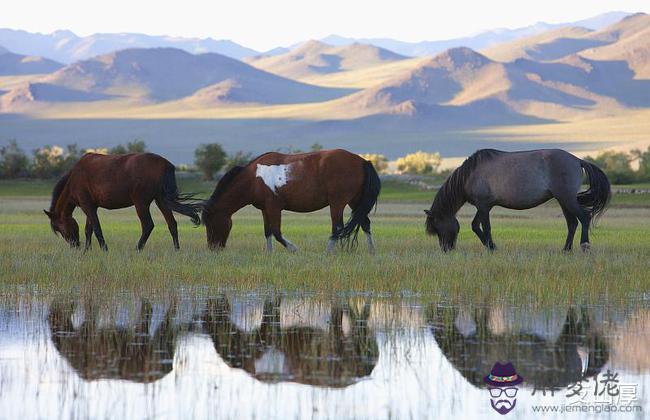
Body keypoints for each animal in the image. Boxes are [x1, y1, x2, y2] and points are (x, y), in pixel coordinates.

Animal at [44, 153, 199, 251]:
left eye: (59, 228)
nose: (74, 245)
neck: (74, 179)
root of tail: (166, 165)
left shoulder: (86, 206)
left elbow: (97, 229)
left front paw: (104, 250)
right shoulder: (91, 206)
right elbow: (89, 230)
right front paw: (87, 250)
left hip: (141, 203)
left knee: (148, 225)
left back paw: (137, 249)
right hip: (161, 200)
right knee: (172, 224)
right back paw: (176, 250)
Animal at [202, 148, 380, 251]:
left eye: (210, 223)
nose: (213, 248)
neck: (254, 178)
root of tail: (363, 161)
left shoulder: (274, 208)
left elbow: (276, 232)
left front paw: (293, 249)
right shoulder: (265, 209)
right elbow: (268, 232)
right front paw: (269, 254)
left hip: (338, 203)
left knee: (337, 228)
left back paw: (327, 253)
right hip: (355, 201)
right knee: (365, 223)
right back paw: (372, 252)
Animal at [422, 148, 612, 251]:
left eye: (438, 227)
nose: (446, 249)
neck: (470, 174)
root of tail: (577, 160)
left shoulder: (483, 206)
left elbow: (485, 227)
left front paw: (492, 247)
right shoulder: (484, 206)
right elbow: (476, 226)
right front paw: (489, 246)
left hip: (567, 199)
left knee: (584, 218)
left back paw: (584, 245)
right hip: (563, 201)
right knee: (572, 224)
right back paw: (565, 250)